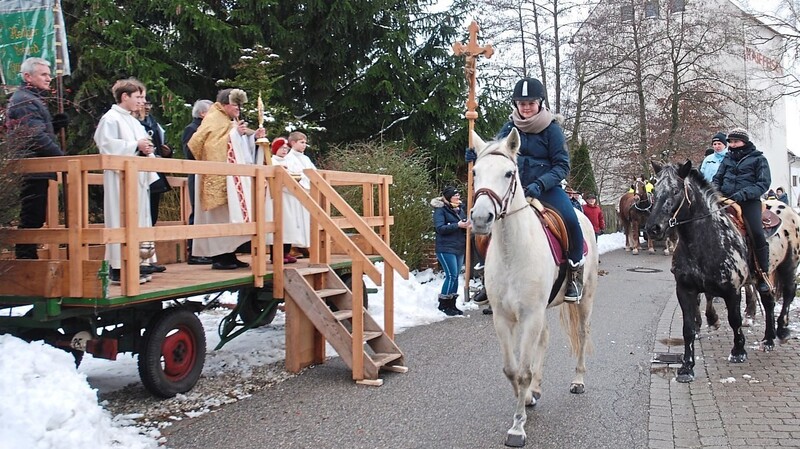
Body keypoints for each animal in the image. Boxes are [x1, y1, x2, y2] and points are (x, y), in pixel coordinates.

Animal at [468, 128, 592, 446]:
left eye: (509, 173)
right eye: (475, 171)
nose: (481, 218)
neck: (513, 251)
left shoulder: (530, 315)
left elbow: (522, 372)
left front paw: (517, 428)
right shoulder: (504, 318)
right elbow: (512, 369)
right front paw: (526, 400)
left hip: (585, 299)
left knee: (582, 335)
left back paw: (578, 380)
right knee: (544, 339)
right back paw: (536, 389)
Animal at [644, 161, 800, 382]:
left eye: (675, 191)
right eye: (654, 191)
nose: (653, 228)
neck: (704, 240)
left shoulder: (732, 290)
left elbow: (735, 320)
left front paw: (738, 351)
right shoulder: (685, 290)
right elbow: (688, 328)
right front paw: (686, 367)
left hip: (788, 265)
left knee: (788, 293)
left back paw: (782, 330)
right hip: (763, 276)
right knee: (769, 301)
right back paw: (768, 339)